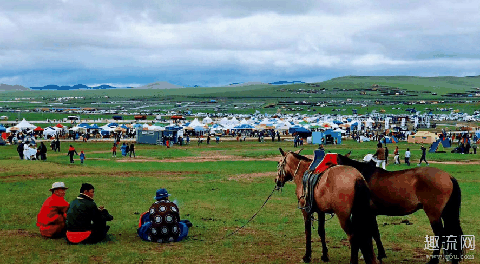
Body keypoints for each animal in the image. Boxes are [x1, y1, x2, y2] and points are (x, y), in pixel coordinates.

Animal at [336, 155, 464, 264]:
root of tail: (448, 176)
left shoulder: (368, 214)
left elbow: (372, 233)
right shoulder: (372, 214)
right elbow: (376, 233)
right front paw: (381, 254)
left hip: (433, 214)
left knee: (440, 234)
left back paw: (433, 260)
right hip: (445, 213)